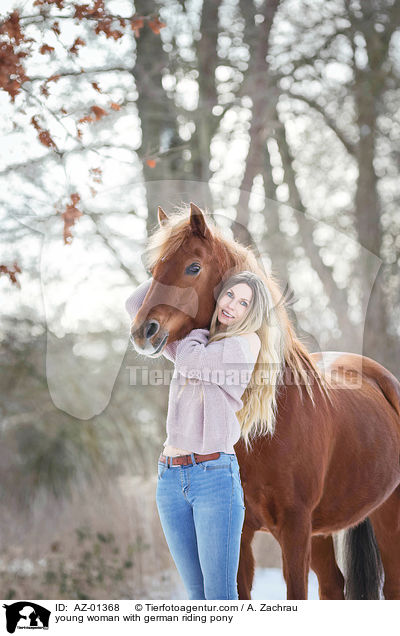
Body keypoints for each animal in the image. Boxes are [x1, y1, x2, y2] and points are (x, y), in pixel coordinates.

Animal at [129, 204, 400, 600]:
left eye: (193, 267)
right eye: (153, 271)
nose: (142, 331)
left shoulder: (295, 527)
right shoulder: (240, 535)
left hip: (386, 516)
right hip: (322, 532)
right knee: (334, 584)